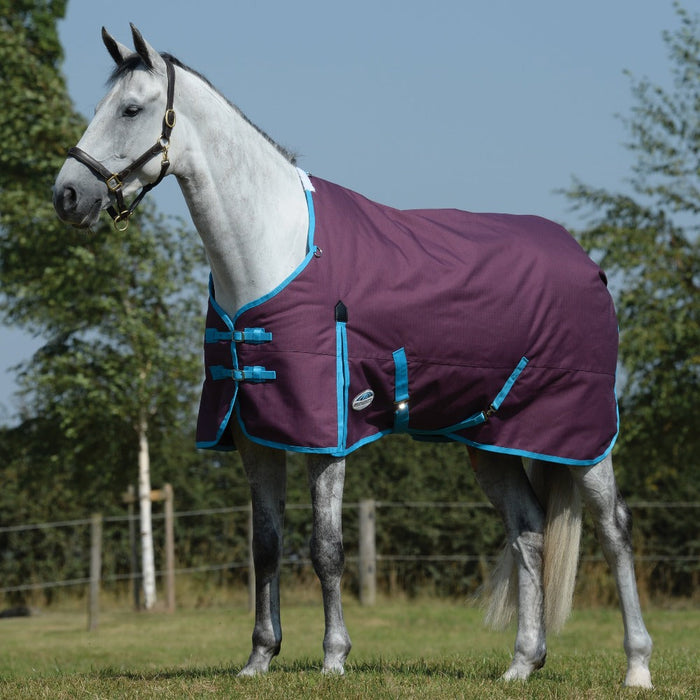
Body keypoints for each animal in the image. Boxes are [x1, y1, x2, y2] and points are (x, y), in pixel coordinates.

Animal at [53, 25, 653, 687]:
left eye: (131, 110)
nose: (67, 195)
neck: (275, 250)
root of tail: (587, 263)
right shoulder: (256, 436)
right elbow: (266, 545)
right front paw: (259, 657)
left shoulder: (327, 435)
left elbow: (326, 548)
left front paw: (334, 657)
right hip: (491, 441)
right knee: (528, 531)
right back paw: (522, 663)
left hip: (583, 438)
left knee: (614, 528)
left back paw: (636, 667)